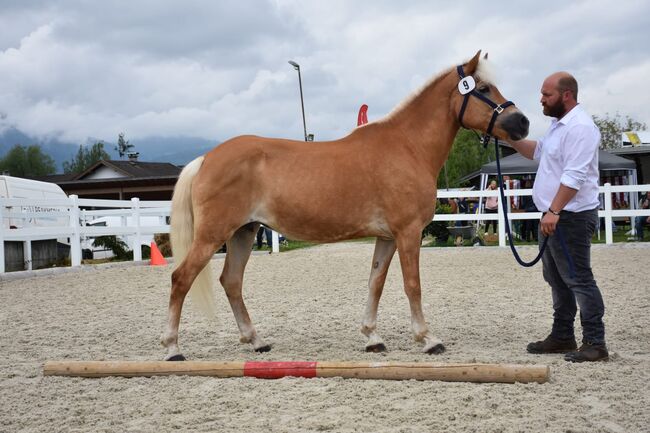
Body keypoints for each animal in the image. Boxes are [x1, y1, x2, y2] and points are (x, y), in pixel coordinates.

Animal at [161, 50, 528, 360]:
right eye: (484, 87)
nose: (522, 123)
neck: (407, 147)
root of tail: (206, 158)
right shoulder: (408, 233)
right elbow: (412, 286)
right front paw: (427, 339)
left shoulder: (387, 237)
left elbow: (375, 283)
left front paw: (372, 337)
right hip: (212, 235)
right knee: (181, 278)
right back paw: (172, 348)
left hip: (243, 232)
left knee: (232, 282)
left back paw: (256, 341)